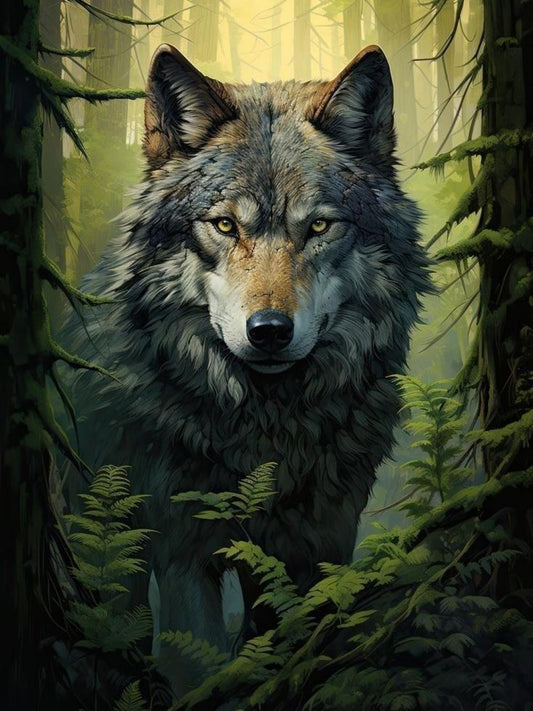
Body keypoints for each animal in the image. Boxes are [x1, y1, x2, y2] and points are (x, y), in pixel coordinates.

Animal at [62, 43, 431, 672]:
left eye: (319, 226)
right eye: (225, 225)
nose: (270, 332)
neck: (267, 437)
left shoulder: (322, 544)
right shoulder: (183, 551)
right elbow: (197, 661)